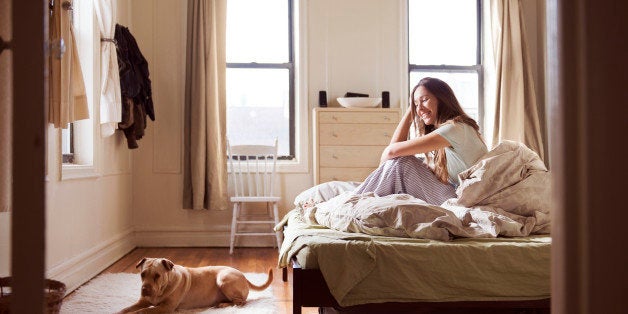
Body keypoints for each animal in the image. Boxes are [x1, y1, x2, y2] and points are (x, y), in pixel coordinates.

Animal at [117, 256, 272, 312]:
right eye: (142, 274)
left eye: (157, 276)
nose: (145, 289)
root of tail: (244, 276)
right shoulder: (142, 301)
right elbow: (127, 308)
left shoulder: (165, 308)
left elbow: (142, 311)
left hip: (223, 279)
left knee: (241, 302)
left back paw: (223, 305)